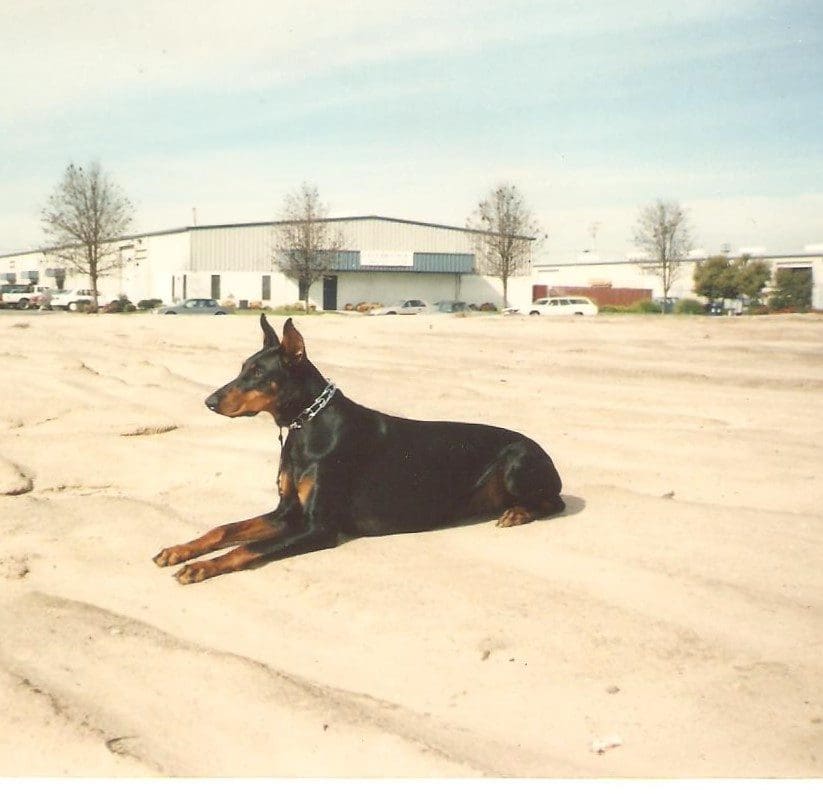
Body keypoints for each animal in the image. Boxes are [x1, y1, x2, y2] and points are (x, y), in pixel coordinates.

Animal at [154, 314, 568, 580]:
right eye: (242, 367)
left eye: (258, 373)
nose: (209, 401)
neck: (306, 426)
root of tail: (546, 454)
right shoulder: (287, 512)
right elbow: (224, 530)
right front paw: (181, 550)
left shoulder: (319, 526)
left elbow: (245, 548)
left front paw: (201, 567)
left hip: (517, 462)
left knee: (555, 502)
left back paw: (518, 513)